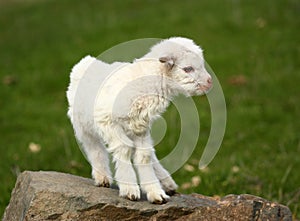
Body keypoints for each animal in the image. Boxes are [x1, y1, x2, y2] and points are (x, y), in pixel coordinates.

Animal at [66, 36, 211, 204]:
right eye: (188, 69)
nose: (210, 82)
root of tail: (86, 61)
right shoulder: (108, 121)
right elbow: (124, 149)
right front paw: (130, 189)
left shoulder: (140, 127)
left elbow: (144, 156)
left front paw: (155, 193)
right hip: (82, 125)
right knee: (94, 148)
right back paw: (102, 177)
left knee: (150, 153)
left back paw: (167, 183)